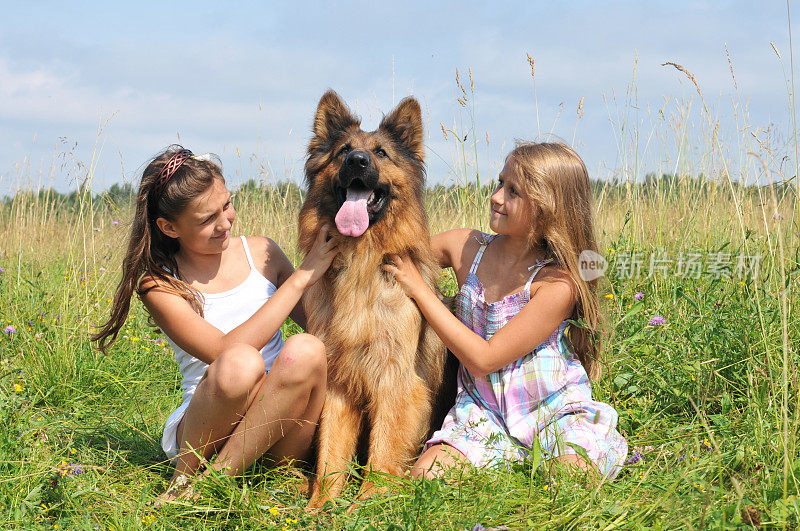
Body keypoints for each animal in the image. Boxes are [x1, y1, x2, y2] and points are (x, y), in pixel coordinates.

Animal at [300, 91, 446, 508]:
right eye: (344, 151)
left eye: (380, 153)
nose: (357, 161)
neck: (362, 261)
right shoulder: (339, 380)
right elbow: (330, 452)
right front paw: (320, 505)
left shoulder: (396, 380)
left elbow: (383, 451)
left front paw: (371, 502)